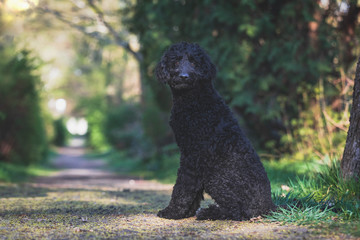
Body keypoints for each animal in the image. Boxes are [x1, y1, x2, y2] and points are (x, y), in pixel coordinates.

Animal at [153, 42, 274, 220]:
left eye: (194, 62)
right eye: (175, 62)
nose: (184, 76)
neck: (194, 100)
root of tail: (269, 207)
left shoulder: (192, 156)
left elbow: (182, 188)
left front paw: (173, 212)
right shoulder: (194, 157)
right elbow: (193, 192)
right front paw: (186, 212)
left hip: (215, 179)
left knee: (237, 211)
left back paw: (209, 212)